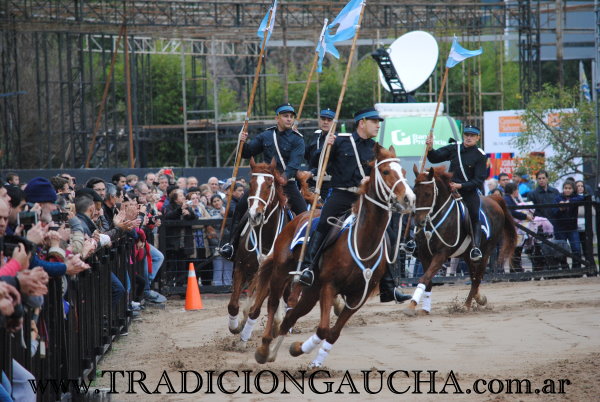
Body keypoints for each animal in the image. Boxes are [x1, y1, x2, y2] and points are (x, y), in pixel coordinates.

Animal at [226, 157, 290, 332]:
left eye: (269, 184)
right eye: (251, 183)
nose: (255, 214)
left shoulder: (269, 274)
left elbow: (255, 309)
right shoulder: (240, 267)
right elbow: (233, 305)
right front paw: (236, 326)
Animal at [237, 144, 414, 368]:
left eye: (404, 172)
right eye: (385, 171)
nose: (409, 198)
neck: (362, 242)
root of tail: (298, 218)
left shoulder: (358, 297)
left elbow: (332, 333)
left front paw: (305, 354)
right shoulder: (330, 286)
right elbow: (322, 329)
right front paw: (299, 349)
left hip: (311, 291)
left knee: (290, 317)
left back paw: (272, 351)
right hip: (281, 273)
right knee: (273, 304)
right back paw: (263, 348)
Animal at [406, 165, 516, 316]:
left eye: (428, 194)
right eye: (415, 192)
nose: (418, 222)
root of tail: (494, 200)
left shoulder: (441, 254)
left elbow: (425, 277)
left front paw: (411, 305)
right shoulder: (424, 254)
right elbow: (428, 281)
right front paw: (425, 309)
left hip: (485, 253)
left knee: (477, 278)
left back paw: (467, 305)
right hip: (468, 256)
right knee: (474, 277)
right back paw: (479, 298)